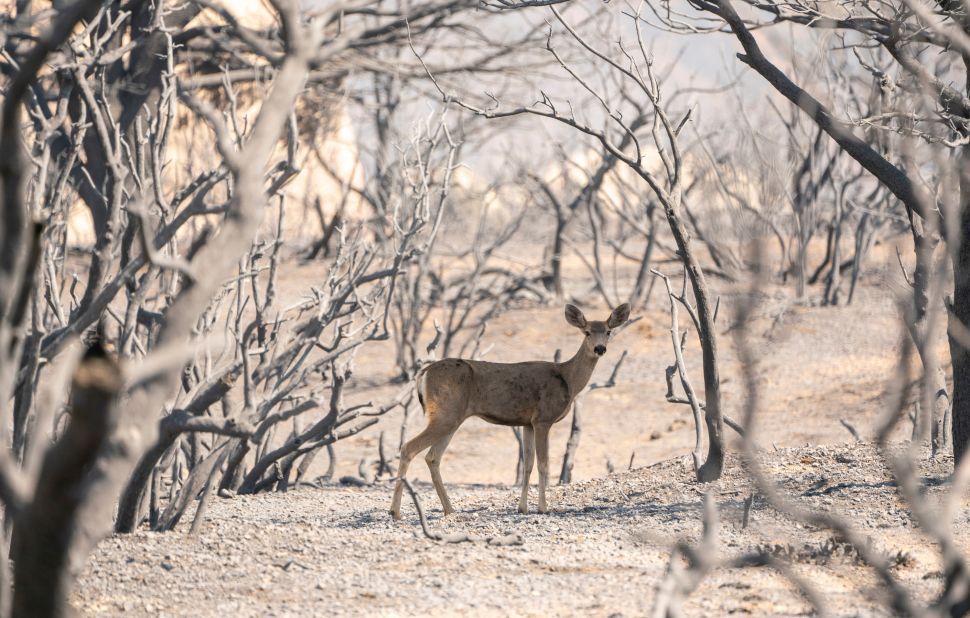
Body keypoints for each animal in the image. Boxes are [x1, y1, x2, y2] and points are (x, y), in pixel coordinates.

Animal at [390, 300, 632, 516]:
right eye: (587, 332)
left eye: (608, 331)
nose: (600, 348)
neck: (568, 379)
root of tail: (423, 373)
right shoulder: (543, 419)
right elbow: (543, 464)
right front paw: (543, 508)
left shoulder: (527, 423)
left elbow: (528, 465)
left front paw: (522, 508)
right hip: (446, 414)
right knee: (409, 448)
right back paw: (395, 512)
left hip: (451, 418)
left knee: (432, 457)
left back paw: (450, 510)